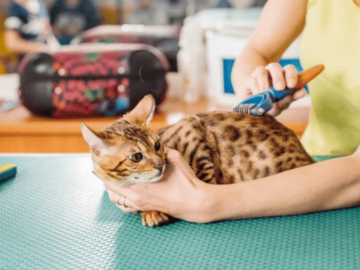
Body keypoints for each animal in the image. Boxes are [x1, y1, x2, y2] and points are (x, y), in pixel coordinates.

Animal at [81, 95, 312, 226]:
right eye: (136, 157)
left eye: (157, 145)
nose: (160, 165)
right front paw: (150, 211)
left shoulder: (190, 126)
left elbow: (205, 178)